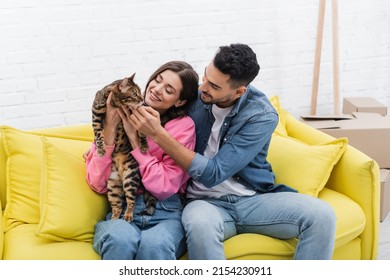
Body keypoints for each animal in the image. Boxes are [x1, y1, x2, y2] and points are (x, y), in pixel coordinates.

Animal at [91, 73, 157, 222]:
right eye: (134, 93)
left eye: (140, 92)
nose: (142, 99)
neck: (117, 104)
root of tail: (120, 176)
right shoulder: (96, 113)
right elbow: (98, 133)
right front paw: (101, 149)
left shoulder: (135, 116)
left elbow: (142, 133)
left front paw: (144, 146)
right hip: (112, 187)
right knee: (117, 207)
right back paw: (114, 220)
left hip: (130, 178)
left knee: (130, 201)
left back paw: (127, 216)